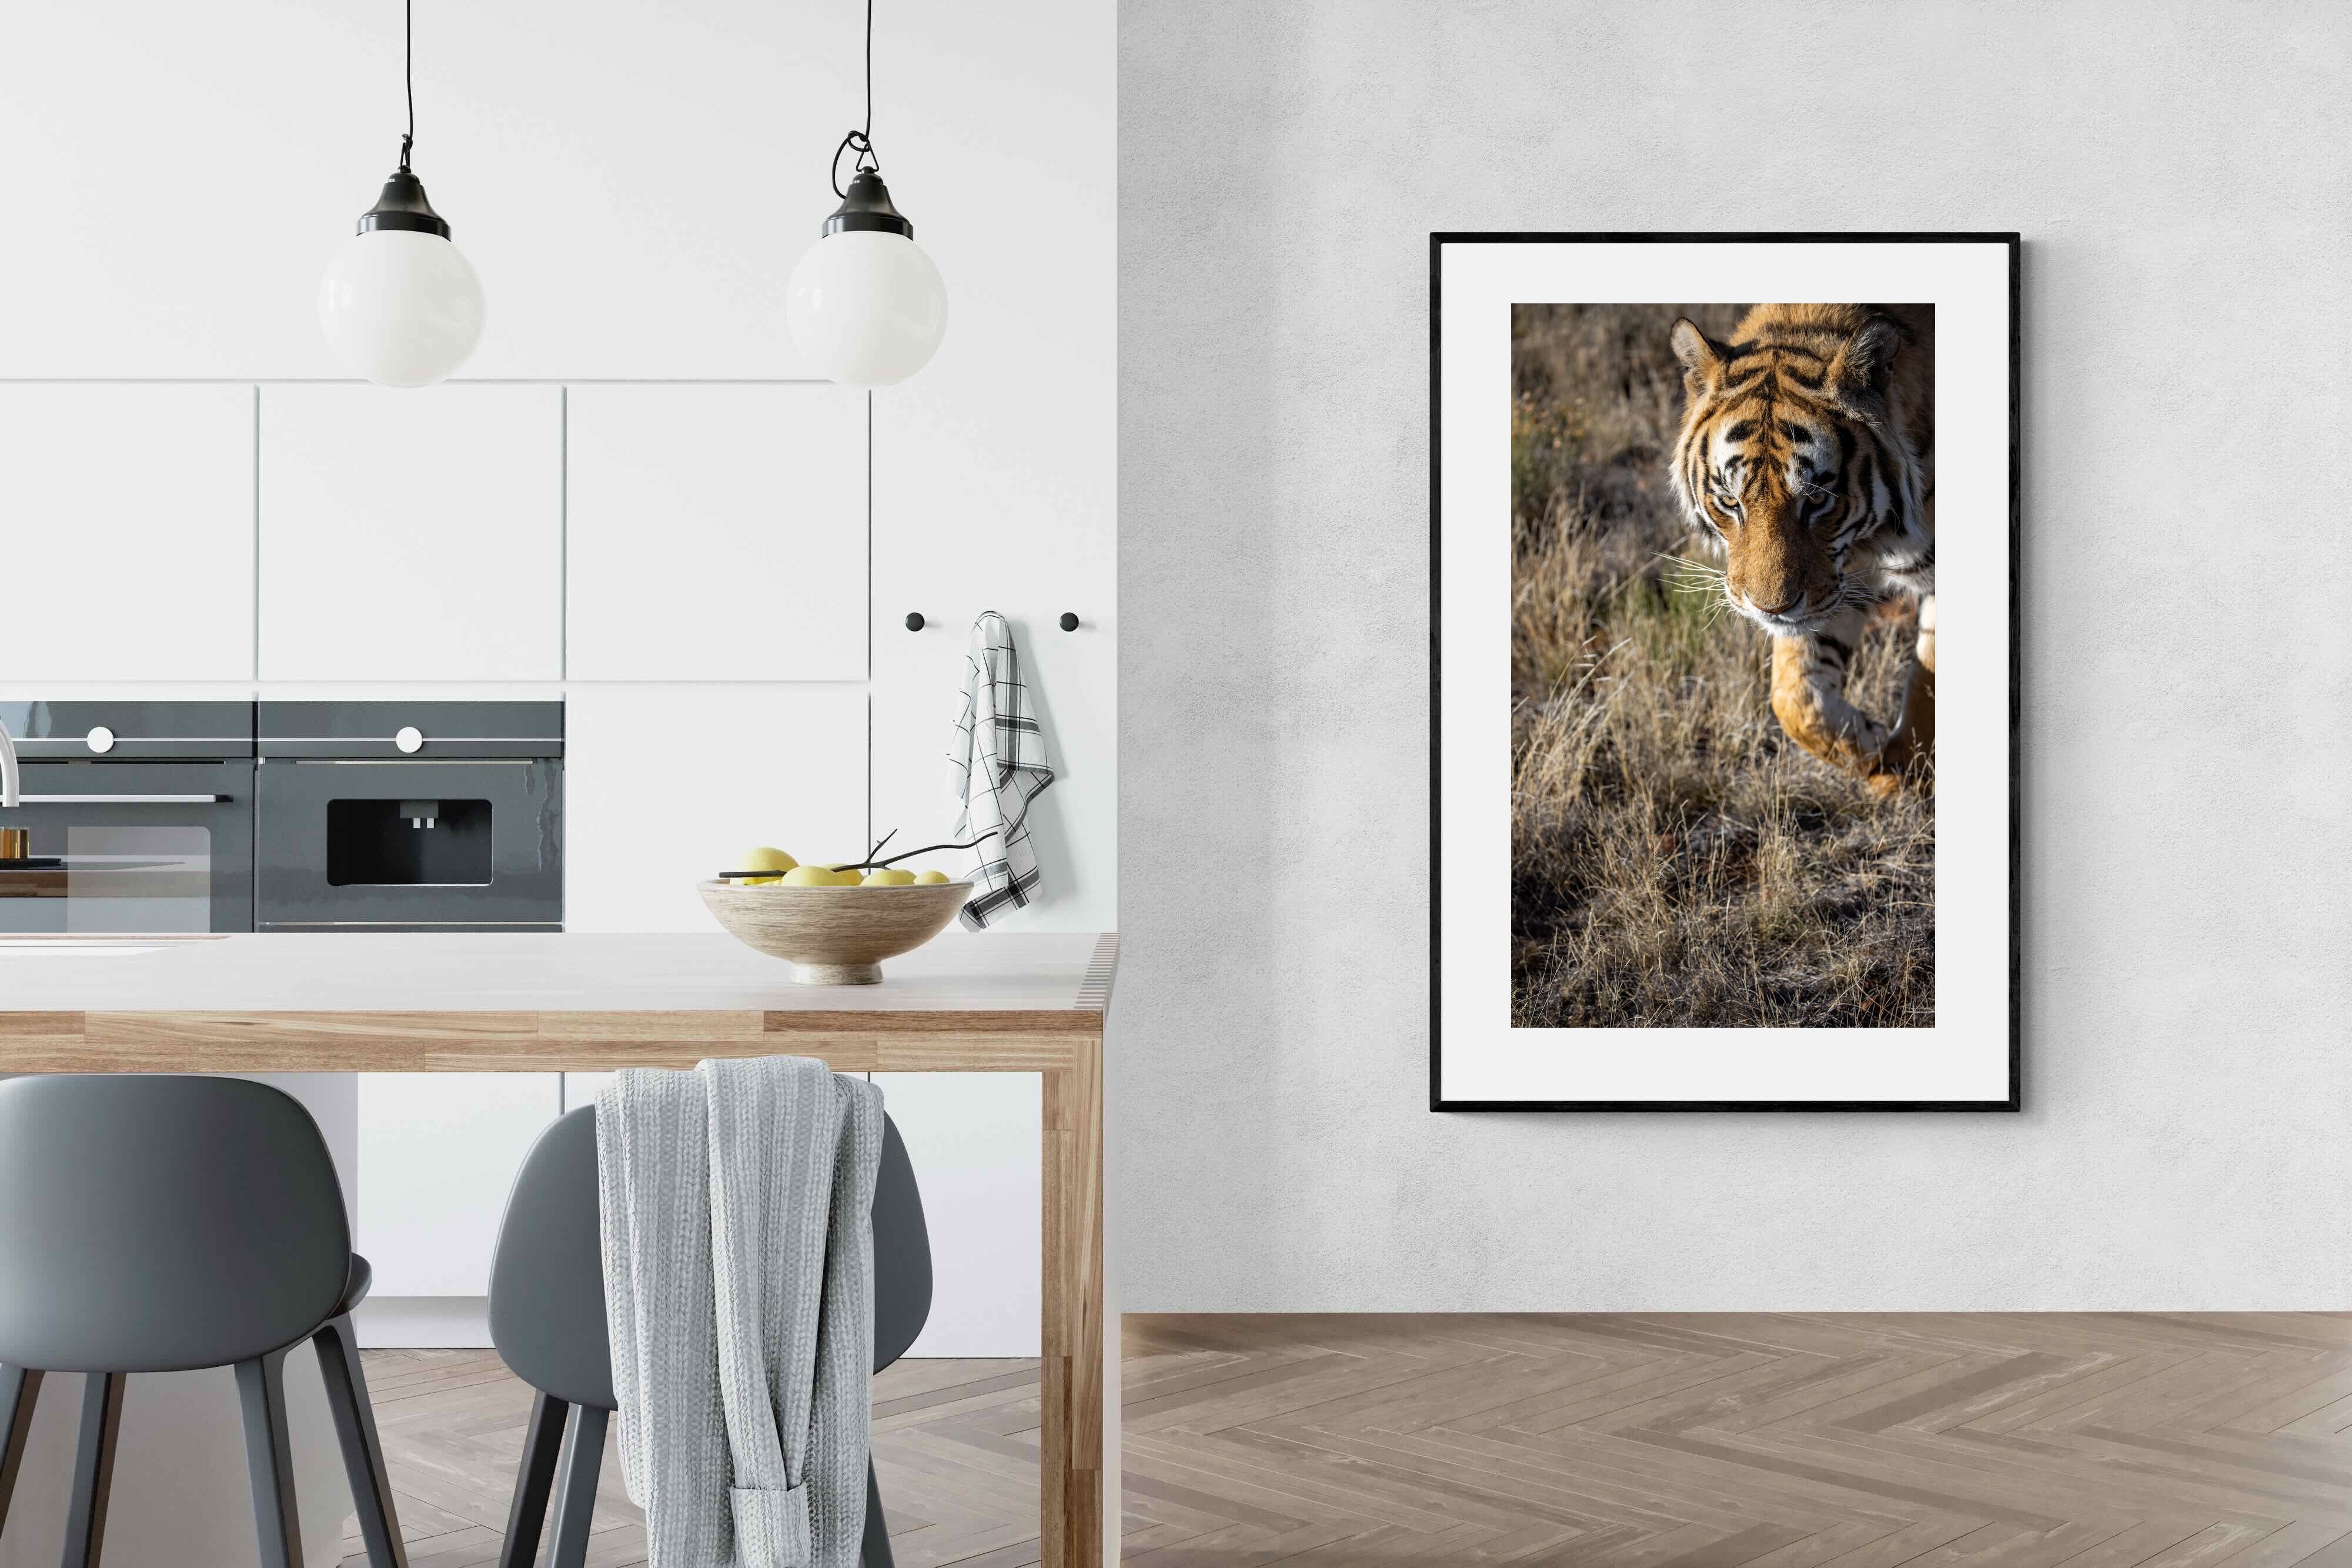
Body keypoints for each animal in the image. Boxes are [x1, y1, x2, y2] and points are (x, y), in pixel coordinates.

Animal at [1667, 303, 1935, 796]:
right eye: (1730, 501)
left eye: (1817, 499)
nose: (1770, 609)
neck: (1874, 540)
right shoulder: (1836, 583)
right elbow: (1794, 698)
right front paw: (1871, 749)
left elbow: (1928, 682)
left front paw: (1906, 769)